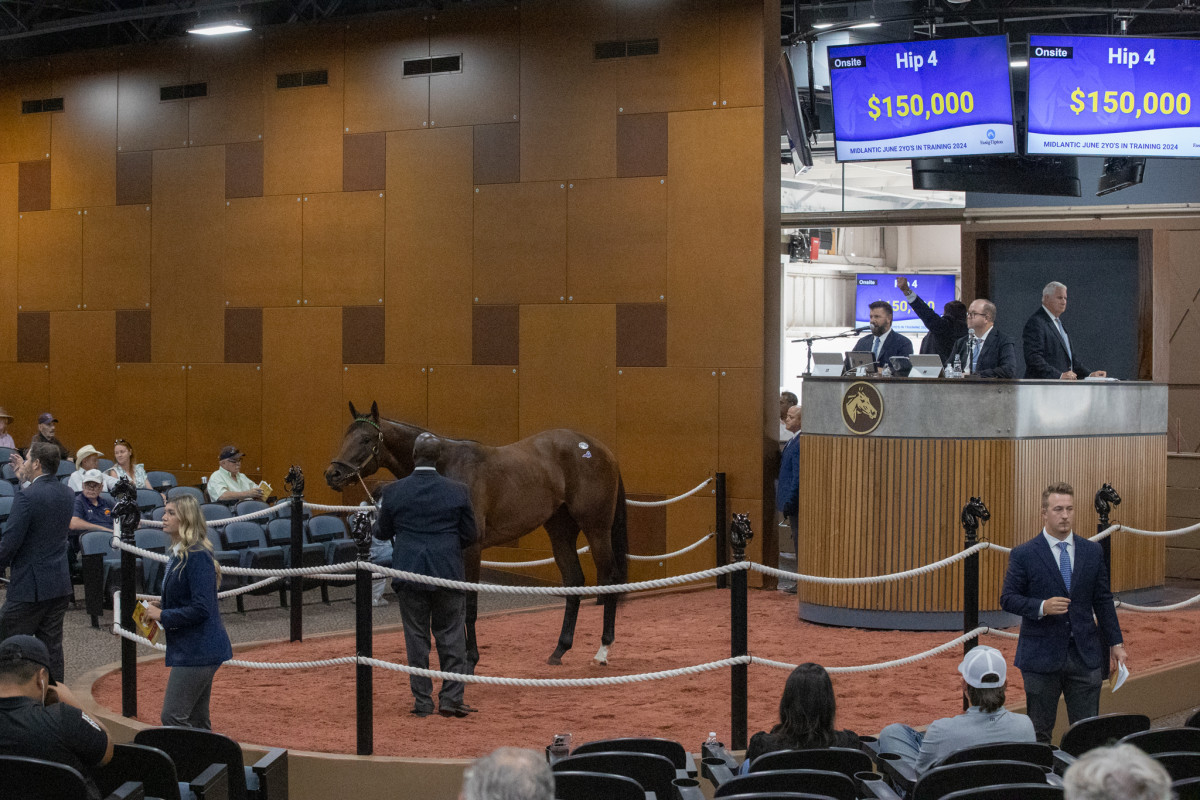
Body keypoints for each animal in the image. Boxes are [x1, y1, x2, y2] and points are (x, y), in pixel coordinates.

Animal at [324, 400, 633, 671]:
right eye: (346, 436)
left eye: (366, 439)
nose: (333, 474)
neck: (444, 468)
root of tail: (599, 449)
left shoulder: (471, 550)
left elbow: (468, 603)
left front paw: (469, 661)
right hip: (560, 530)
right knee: (574, 581)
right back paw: (560, 650)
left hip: (596, 528)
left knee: (610, 579)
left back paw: (603, 650)